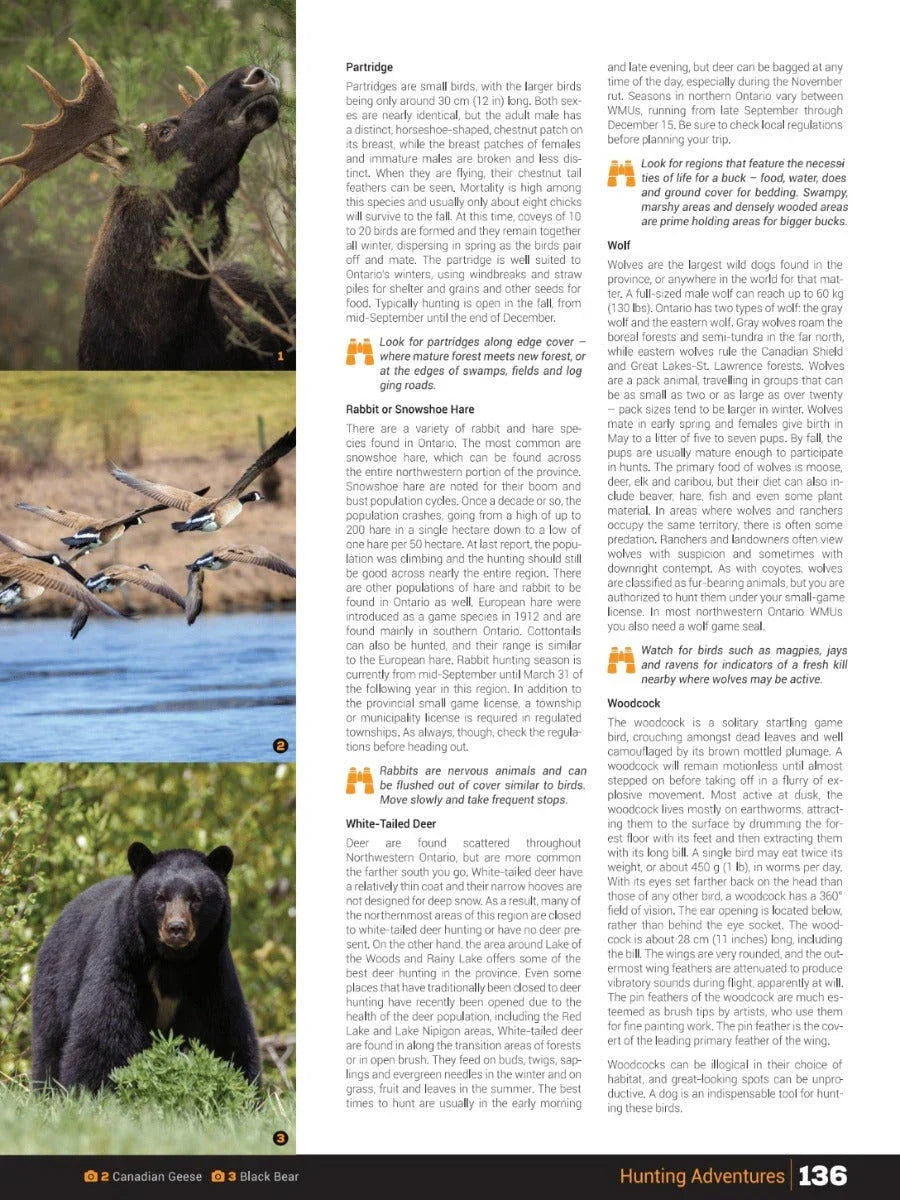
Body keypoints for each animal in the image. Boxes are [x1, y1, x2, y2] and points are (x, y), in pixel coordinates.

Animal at [31, 841, 260, 1092]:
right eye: (160, 897)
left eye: (196, 898)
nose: (176, 928)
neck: (172, 962)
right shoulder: (123, 961)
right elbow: (104, 1029)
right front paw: (89, 1090)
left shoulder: (210, 972)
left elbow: (225, 1032)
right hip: (55, 979)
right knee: (50, 1041)